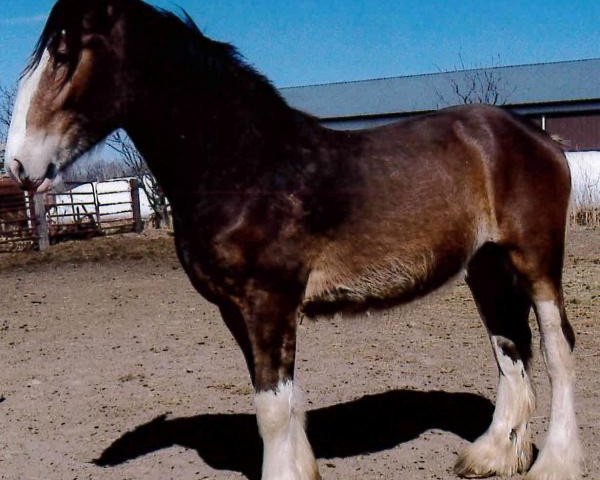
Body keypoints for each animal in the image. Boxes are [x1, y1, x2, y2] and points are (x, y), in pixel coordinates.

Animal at [4, 1, 584, 478]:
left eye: (63, 53)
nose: (19, 165)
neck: (245, 164)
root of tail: (534, 136)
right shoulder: (237, 311)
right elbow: (277, 400)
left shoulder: (269, 302)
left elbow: (273, 409)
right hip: (486, 267)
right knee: (510, 347)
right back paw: (493, 457)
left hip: (535, 261)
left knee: (556, 349)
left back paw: (554, 464)